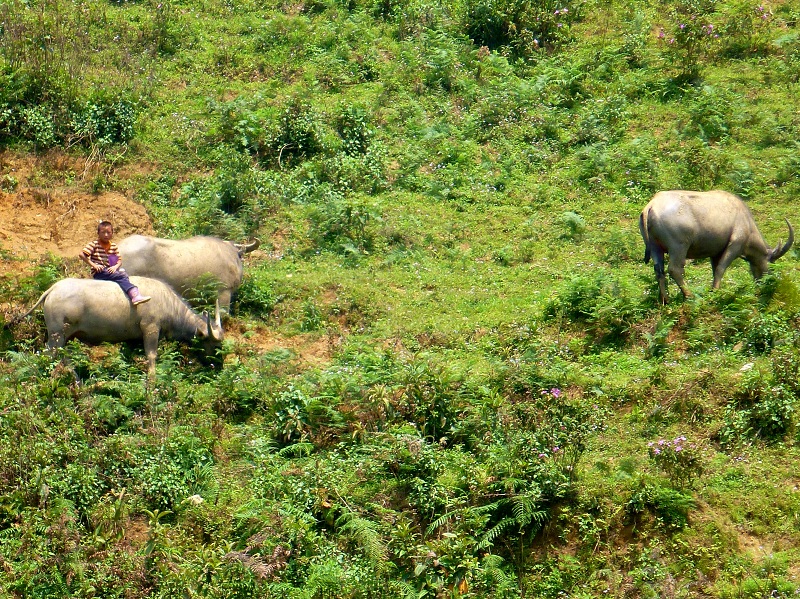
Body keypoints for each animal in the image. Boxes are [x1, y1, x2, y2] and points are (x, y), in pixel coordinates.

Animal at [639, 190, 794, 303]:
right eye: (771, 264)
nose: (763, 283)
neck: (747, 223)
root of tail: (652, 205)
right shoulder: (735, 246)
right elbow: (720, 268)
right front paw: (715, 291)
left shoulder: (714, 253)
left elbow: (715, 270)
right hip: (678, 247)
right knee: (674, 269)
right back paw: (689, 295)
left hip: (655, 248)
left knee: (659, 271)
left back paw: (665, 299)